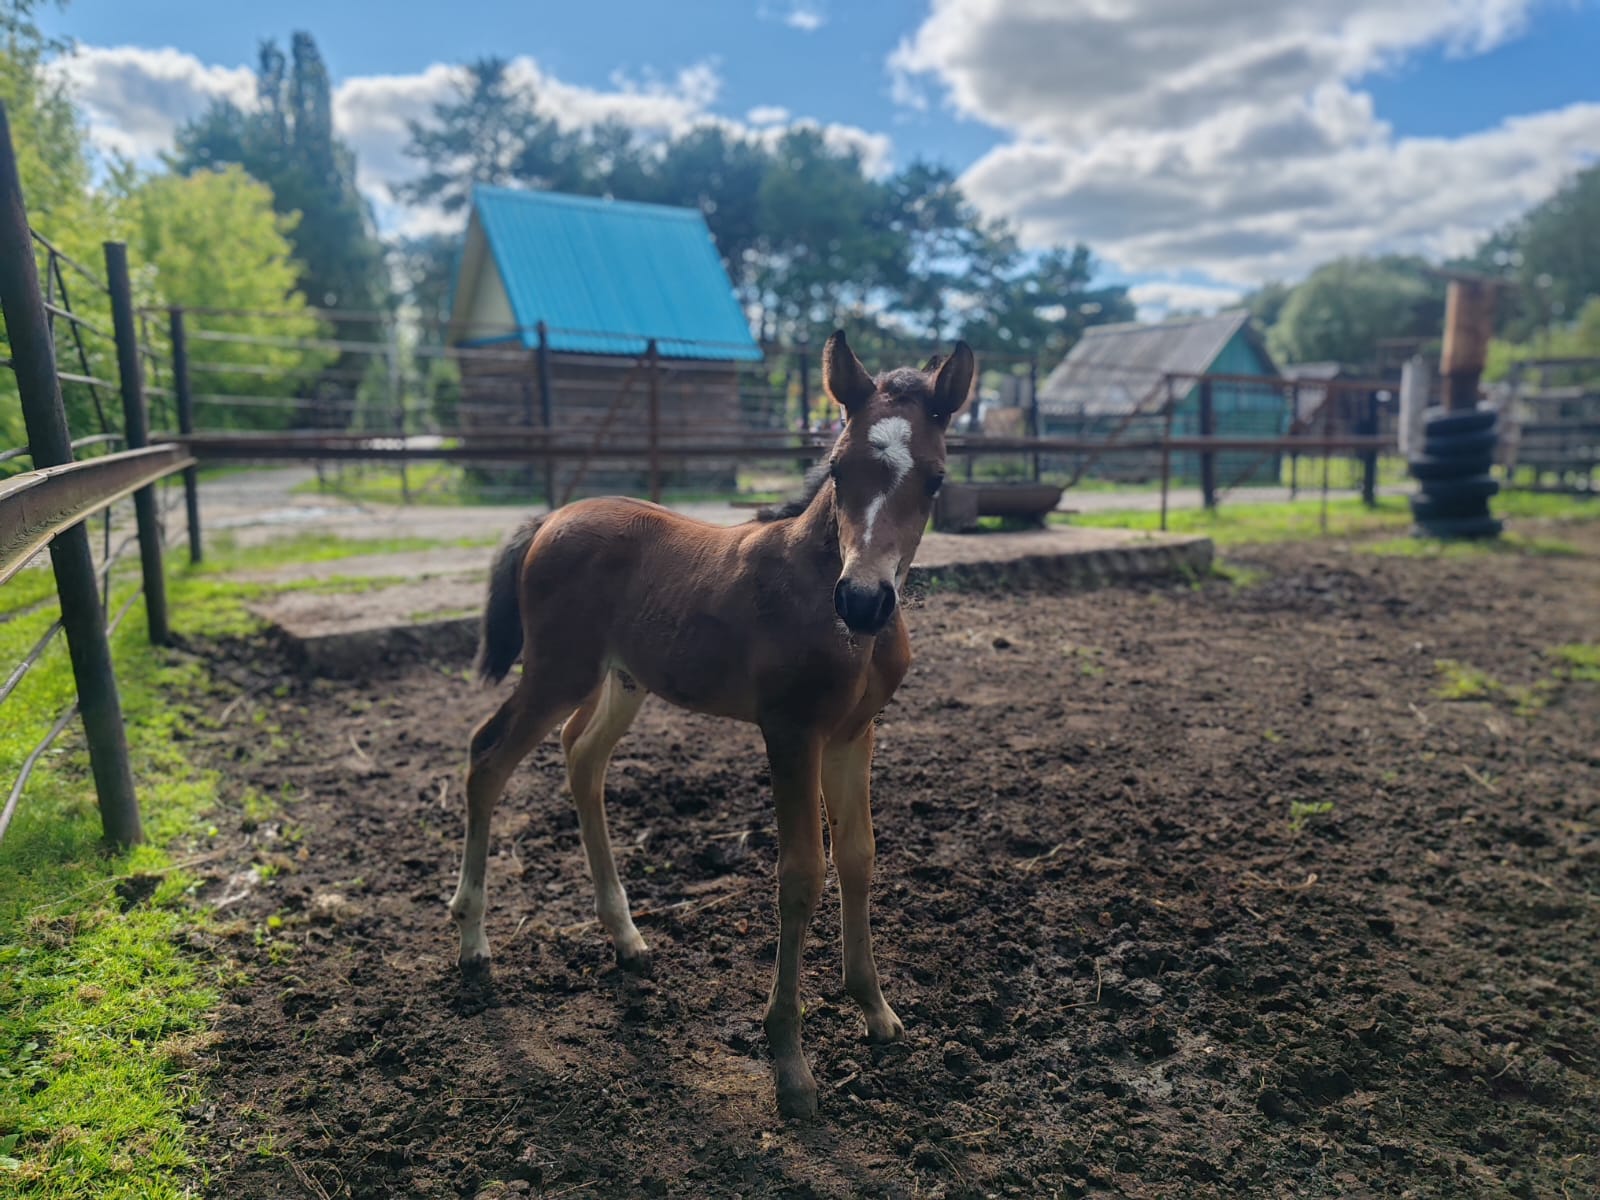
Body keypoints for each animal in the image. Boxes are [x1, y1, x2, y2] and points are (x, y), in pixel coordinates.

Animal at [452, 331, 975, 1118]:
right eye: (836, 467)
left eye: (937, 479)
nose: (862, 601)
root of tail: (550, 518)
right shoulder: (790, 732)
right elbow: (802, 874)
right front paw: (790, 1065)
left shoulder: (855, 734)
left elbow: (859, 856)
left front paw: (876, 1012)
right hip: (557, 670)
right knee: (488, 755)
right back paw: (473, 941)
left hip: (623, 679)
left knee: (582, 756)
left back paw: (626, 938)